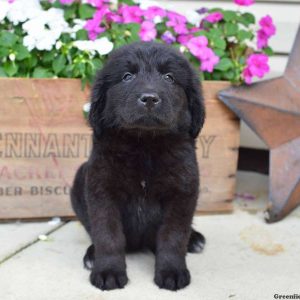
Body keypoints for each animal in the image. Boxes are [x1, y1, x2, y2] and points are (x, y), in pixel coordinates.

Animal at [71, 41, 205, 290]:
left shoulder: (183, 191)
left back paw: (194, 239)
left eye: (169, 77)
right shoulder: (101, 189)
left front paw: (172, 271)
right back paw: (92, 255)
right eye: (127, 76)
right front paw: (108, 271)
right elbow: (107, 235)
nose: (149, 98)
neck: (145, 145)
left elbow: (173, 236)